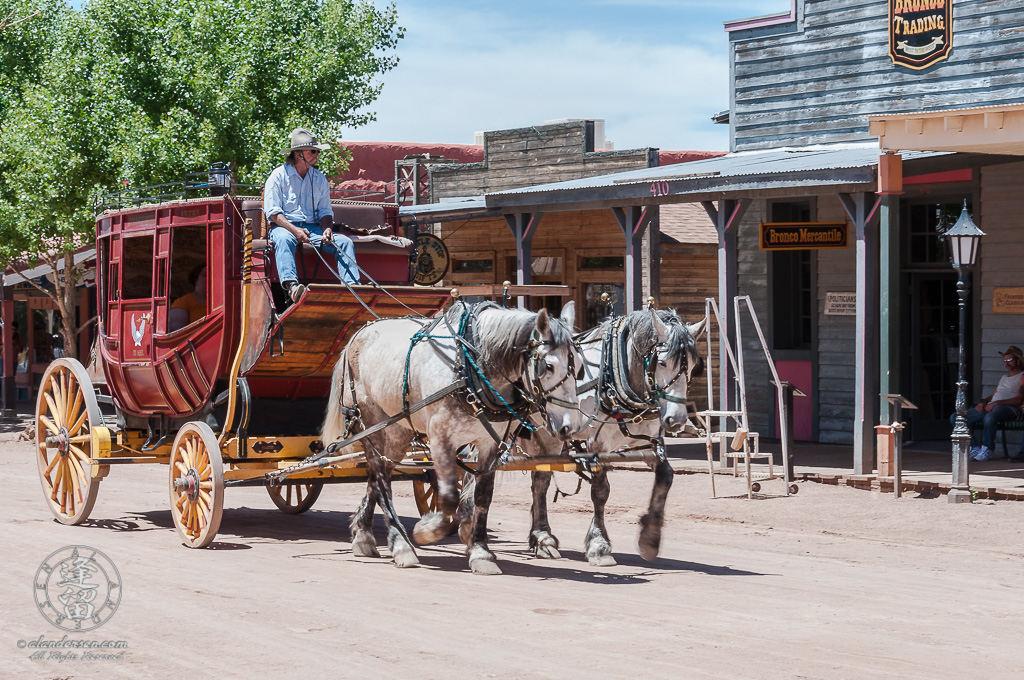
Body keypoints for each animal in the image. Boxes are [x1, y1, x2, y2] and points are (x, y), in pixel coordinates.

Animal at [323, 301, 581, 573]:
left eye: (580, 367)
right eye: (548, 366)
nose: (569, 427)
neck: (469, 367)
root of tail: (355, 337)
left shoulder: (490, 443)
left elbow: (482, 496)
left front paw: (480, 551)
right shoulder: (440, 439)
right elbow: (448, 497)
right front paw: (430, 530)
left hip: (397, 429)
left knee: (378, 474)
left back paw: (363, 533)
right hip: (369, 422)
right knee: (382, 480)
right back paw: (400, 544)